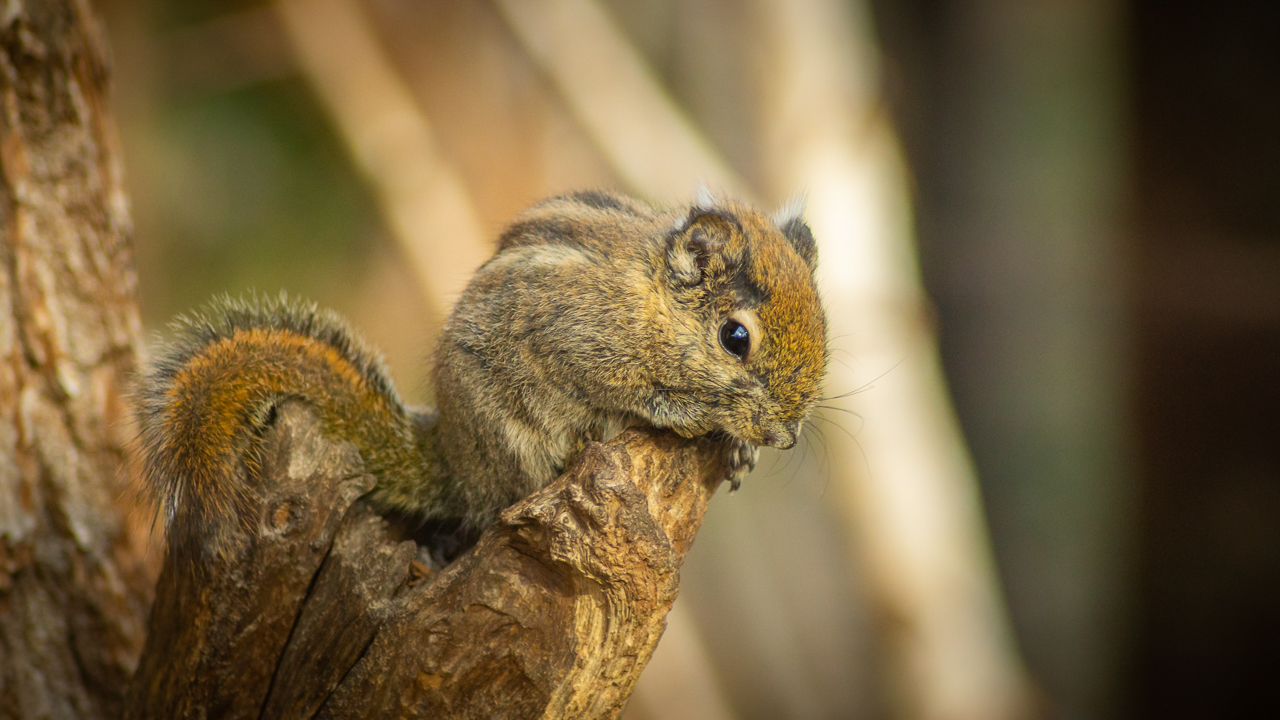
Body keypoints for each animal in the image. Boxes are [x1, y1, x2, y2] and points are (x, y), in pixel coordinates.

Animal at [132, 189, 829, 556]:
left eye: (823, 320)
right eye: (736, 338)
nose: (786, 436)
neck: (652, 301)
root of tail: (453, 460)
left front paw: (740, 449)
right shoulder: (574, 336)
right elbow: (620, 388)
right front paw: (690, 413)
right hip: (509, 442)